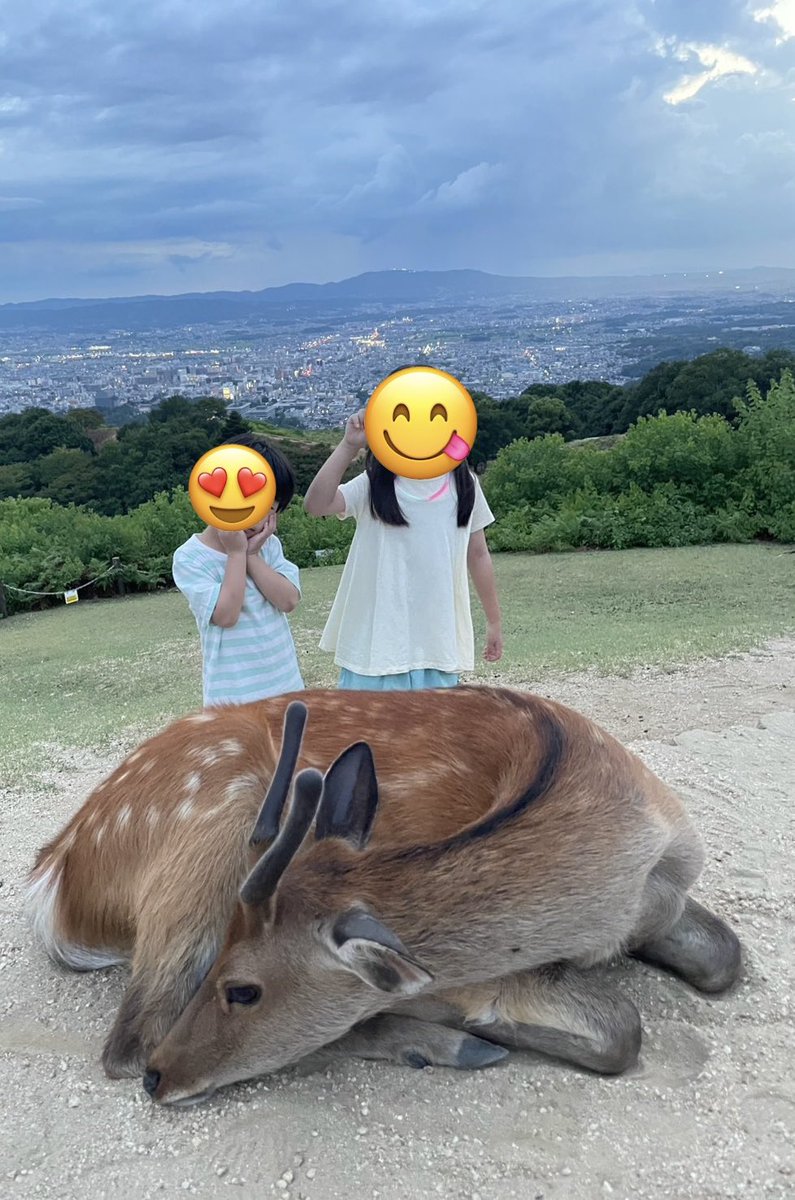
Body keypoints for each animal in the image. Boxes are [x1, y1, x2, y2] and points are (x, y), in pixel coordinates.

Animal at [26, 687, 742, 1106]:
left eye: (243, 990)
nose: (163, 1079)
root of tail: (53, 875)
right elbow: (621, 1024)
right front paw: (476, 1019)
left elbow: (724, 957)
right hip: (211, 831)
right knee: (130, 1042)